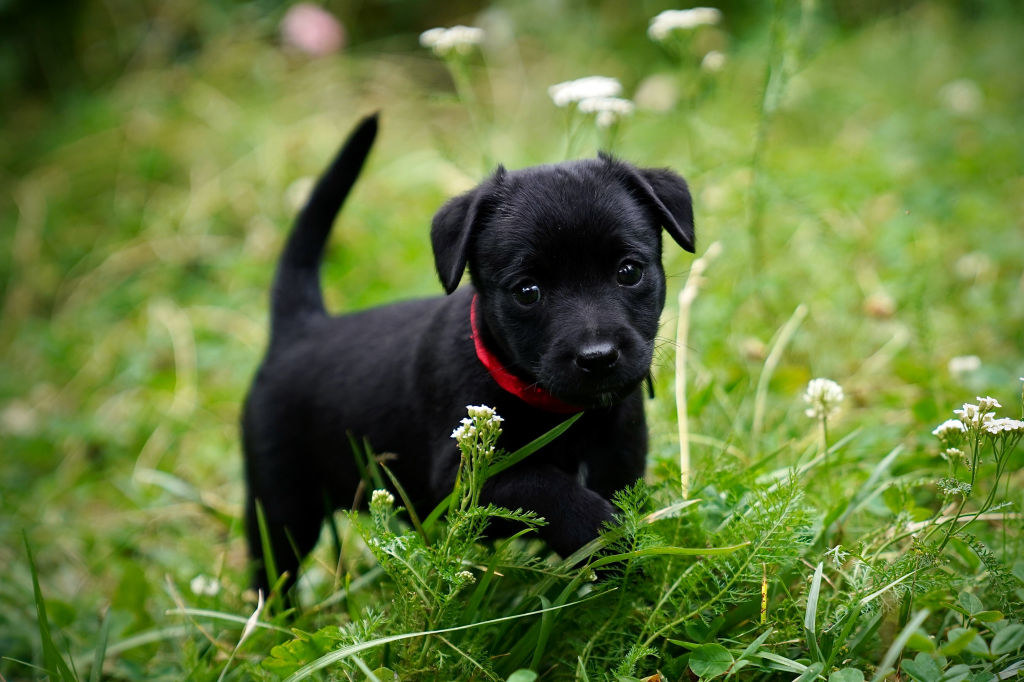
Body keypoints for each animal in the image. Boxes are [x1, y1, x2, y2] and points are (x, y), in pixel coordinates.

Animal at [241, 114, 696, 593]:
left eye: (628, 271)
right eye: (528, 292)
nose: (598, 356)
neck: (560, 411)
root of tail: (300, 326)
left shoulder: (621, 463)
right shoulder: (464, 482)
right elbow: (545, 488)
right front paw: (605, 536)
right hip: (280, 503)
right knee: (273, 568)